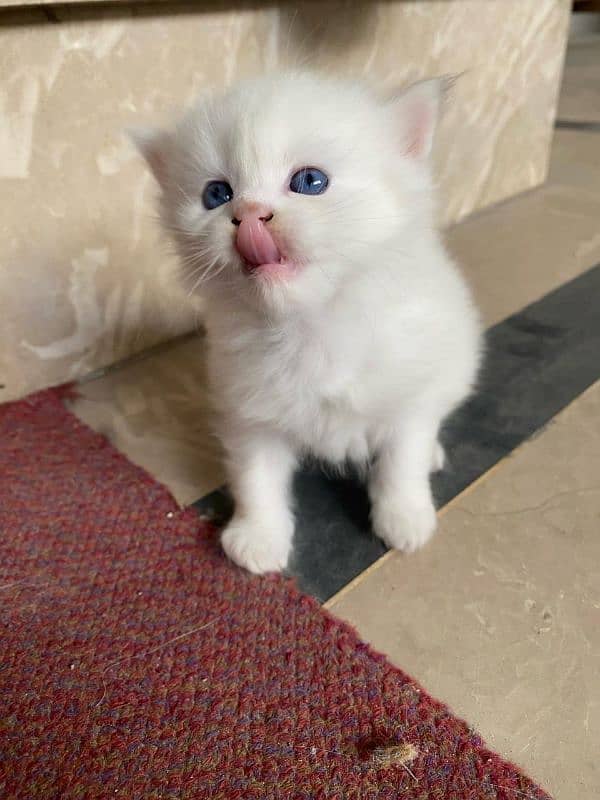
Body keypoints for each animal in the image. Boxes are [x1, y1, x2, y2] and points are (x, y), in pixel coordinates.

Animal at [134, 73, 480, 576]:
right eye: (216, 194)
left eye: (310, 182)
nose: (248, 214)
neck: (310, 325)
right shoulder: (249, 412)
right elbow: (256, 478)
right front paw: (258, 538)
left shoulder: (410, 397)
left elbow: (401, 461)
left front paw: (405, 519)